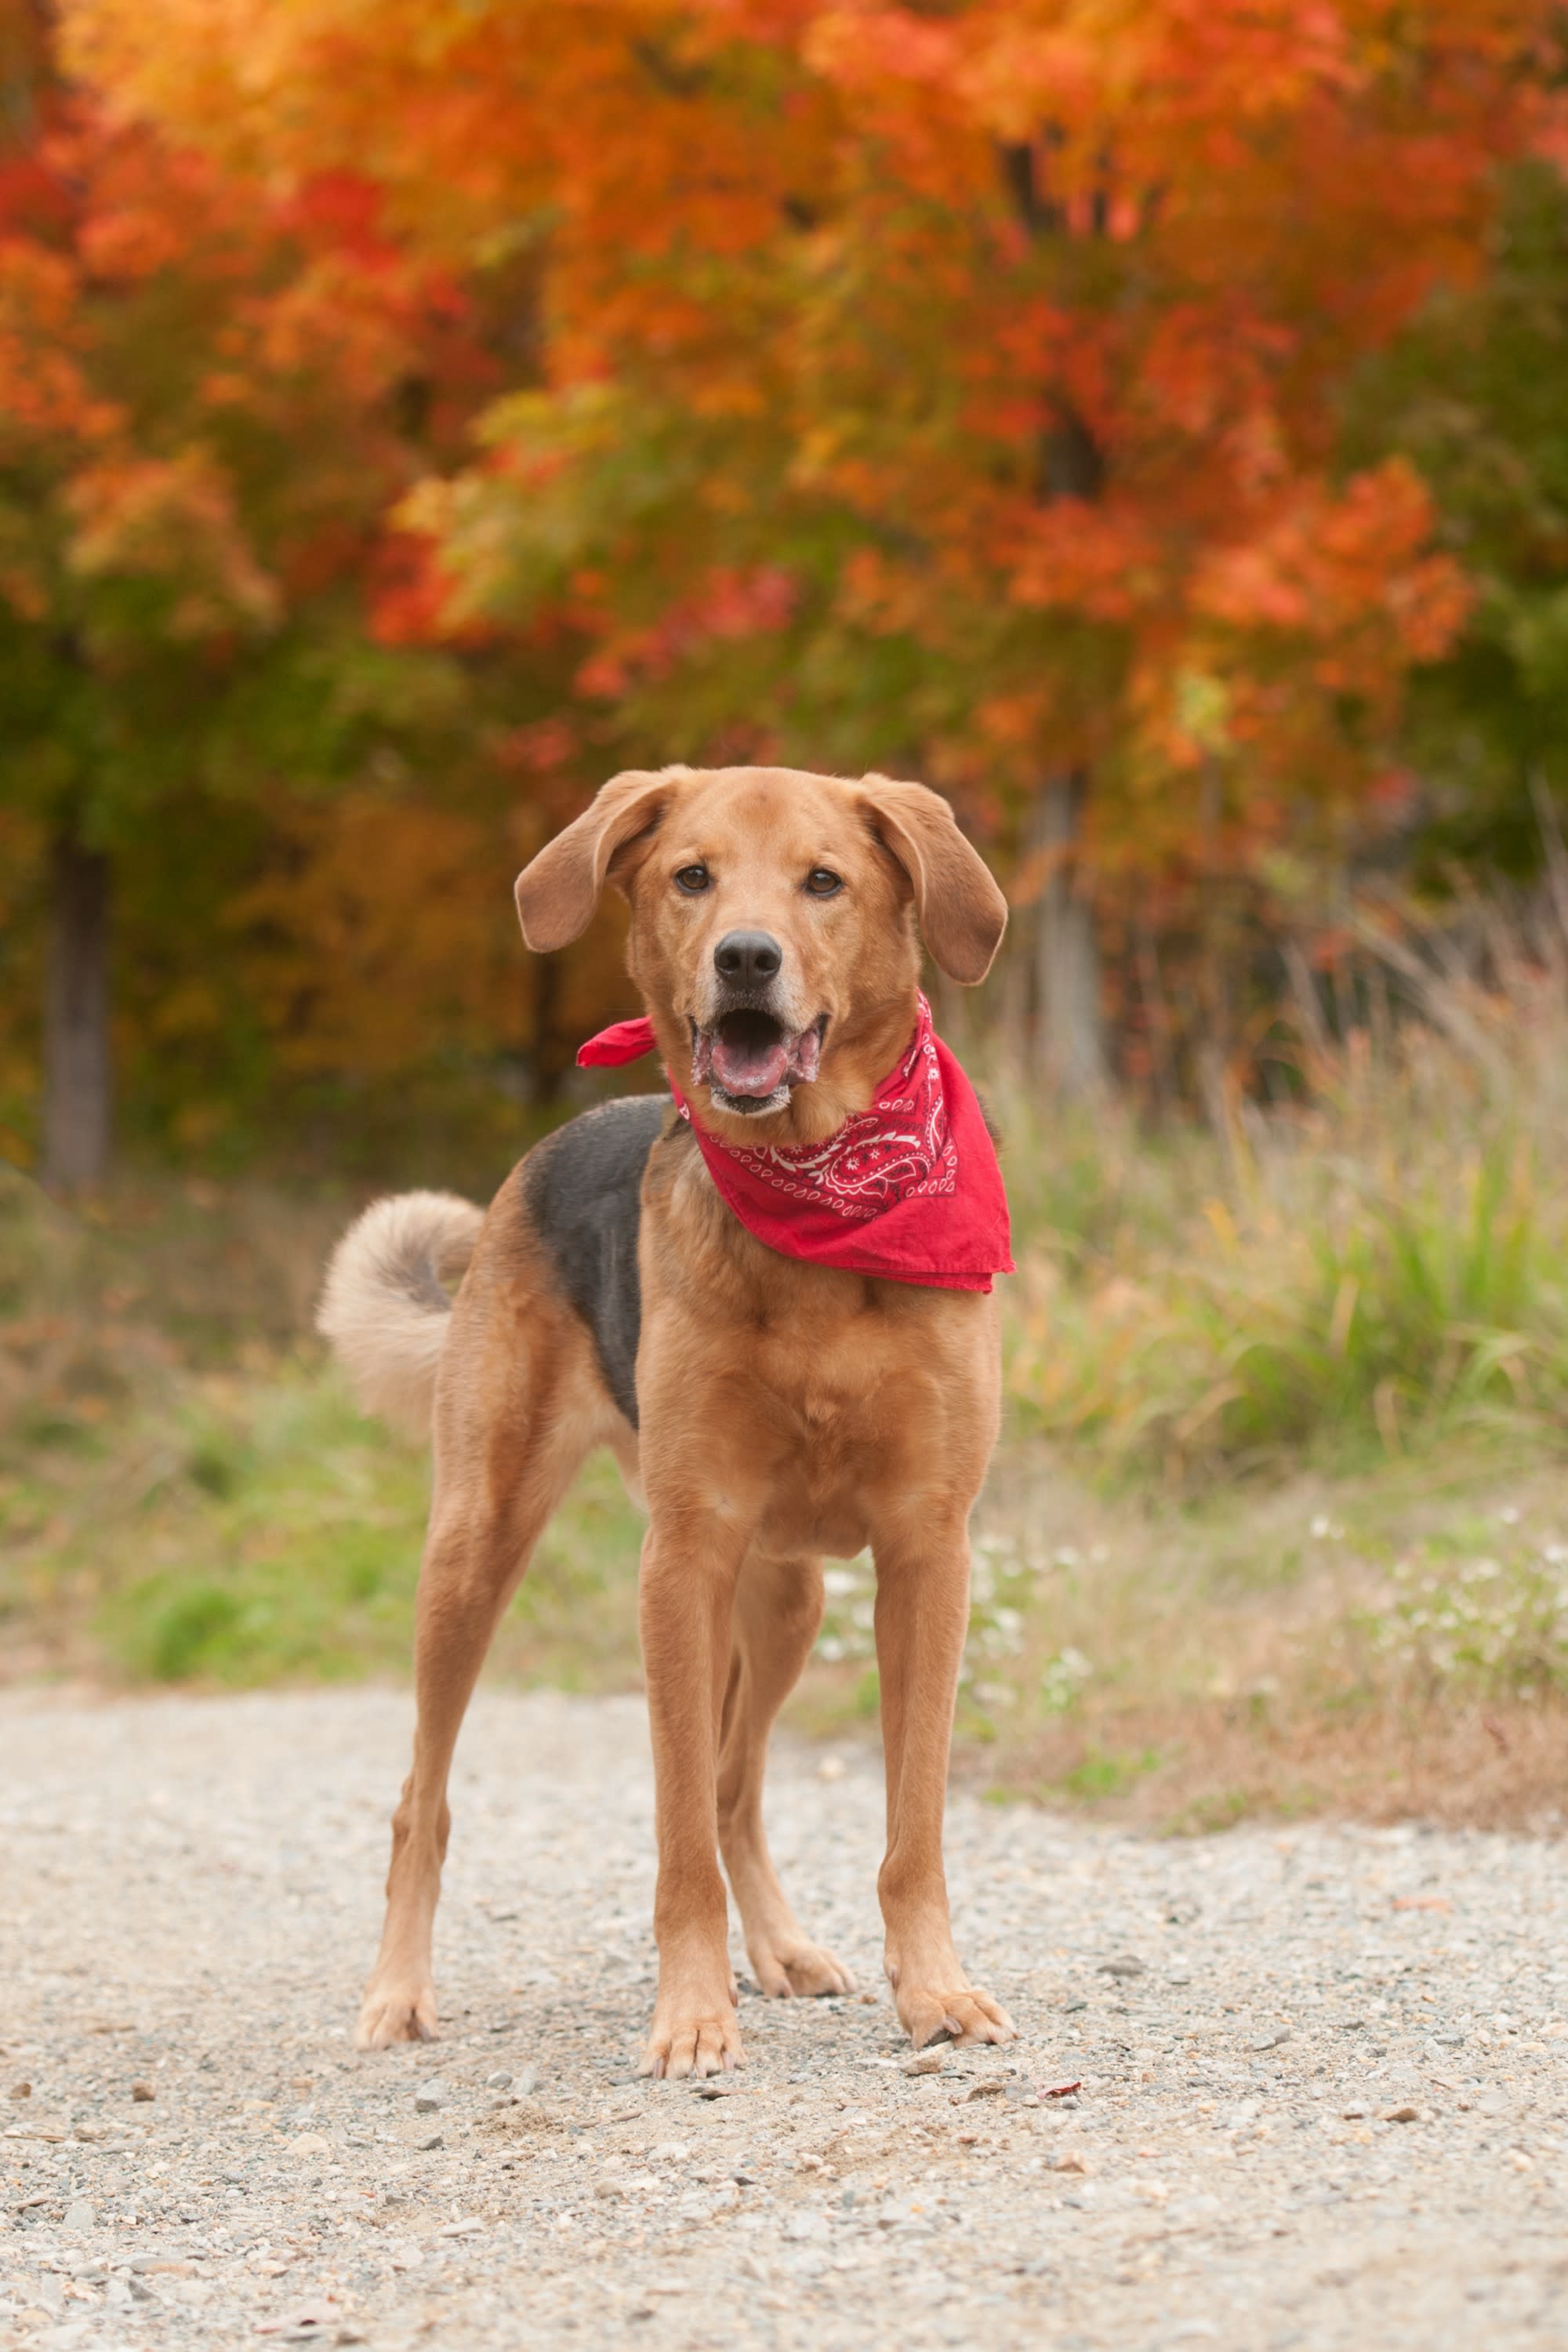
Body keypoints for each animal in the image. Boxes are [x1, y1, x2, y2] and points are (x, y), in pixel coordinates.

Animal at [321, 767, 1020, 2079]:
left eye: (822, 881)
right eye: (692, 875)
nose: (745, 957)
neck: (821, 1199)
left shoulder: (927, 1551)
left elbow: (911, 1823)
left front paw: (936, 1991)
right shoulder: (682, 1559)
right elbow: (676, 1829)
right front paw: (693, 2015)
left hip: (787, 1598)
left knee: (740, 1785)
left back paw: (783, 1951)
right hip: (476, 1551)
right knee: (422, 1802)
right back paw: (396, 1993)